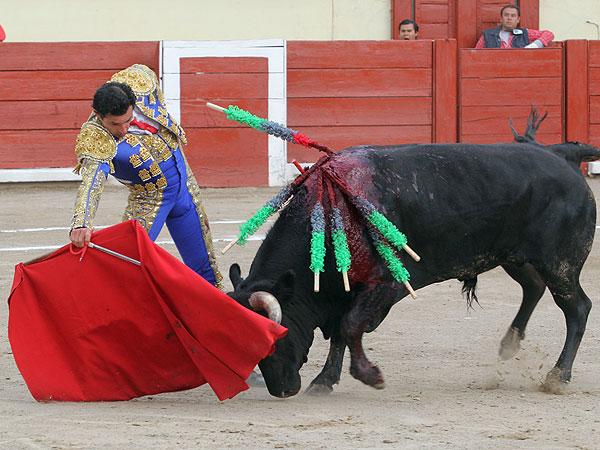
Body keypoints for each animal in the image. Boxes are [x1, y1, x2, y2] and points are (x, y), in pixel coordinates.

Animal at [226, 136, 600, 398]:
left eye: (274, 339)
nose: (282, 389)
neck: (333, 215)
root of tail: (560, 154)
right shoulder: (348, 290)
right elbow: (341, 332)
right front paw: (324, 381)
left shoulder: (385, 284)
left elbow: (349, 326)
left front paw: (371, 376)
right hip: (516, 257)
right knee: (533, 288)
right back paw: (510, 344)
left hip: (560, 264)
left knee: (577, 308)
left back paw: (558, 376)